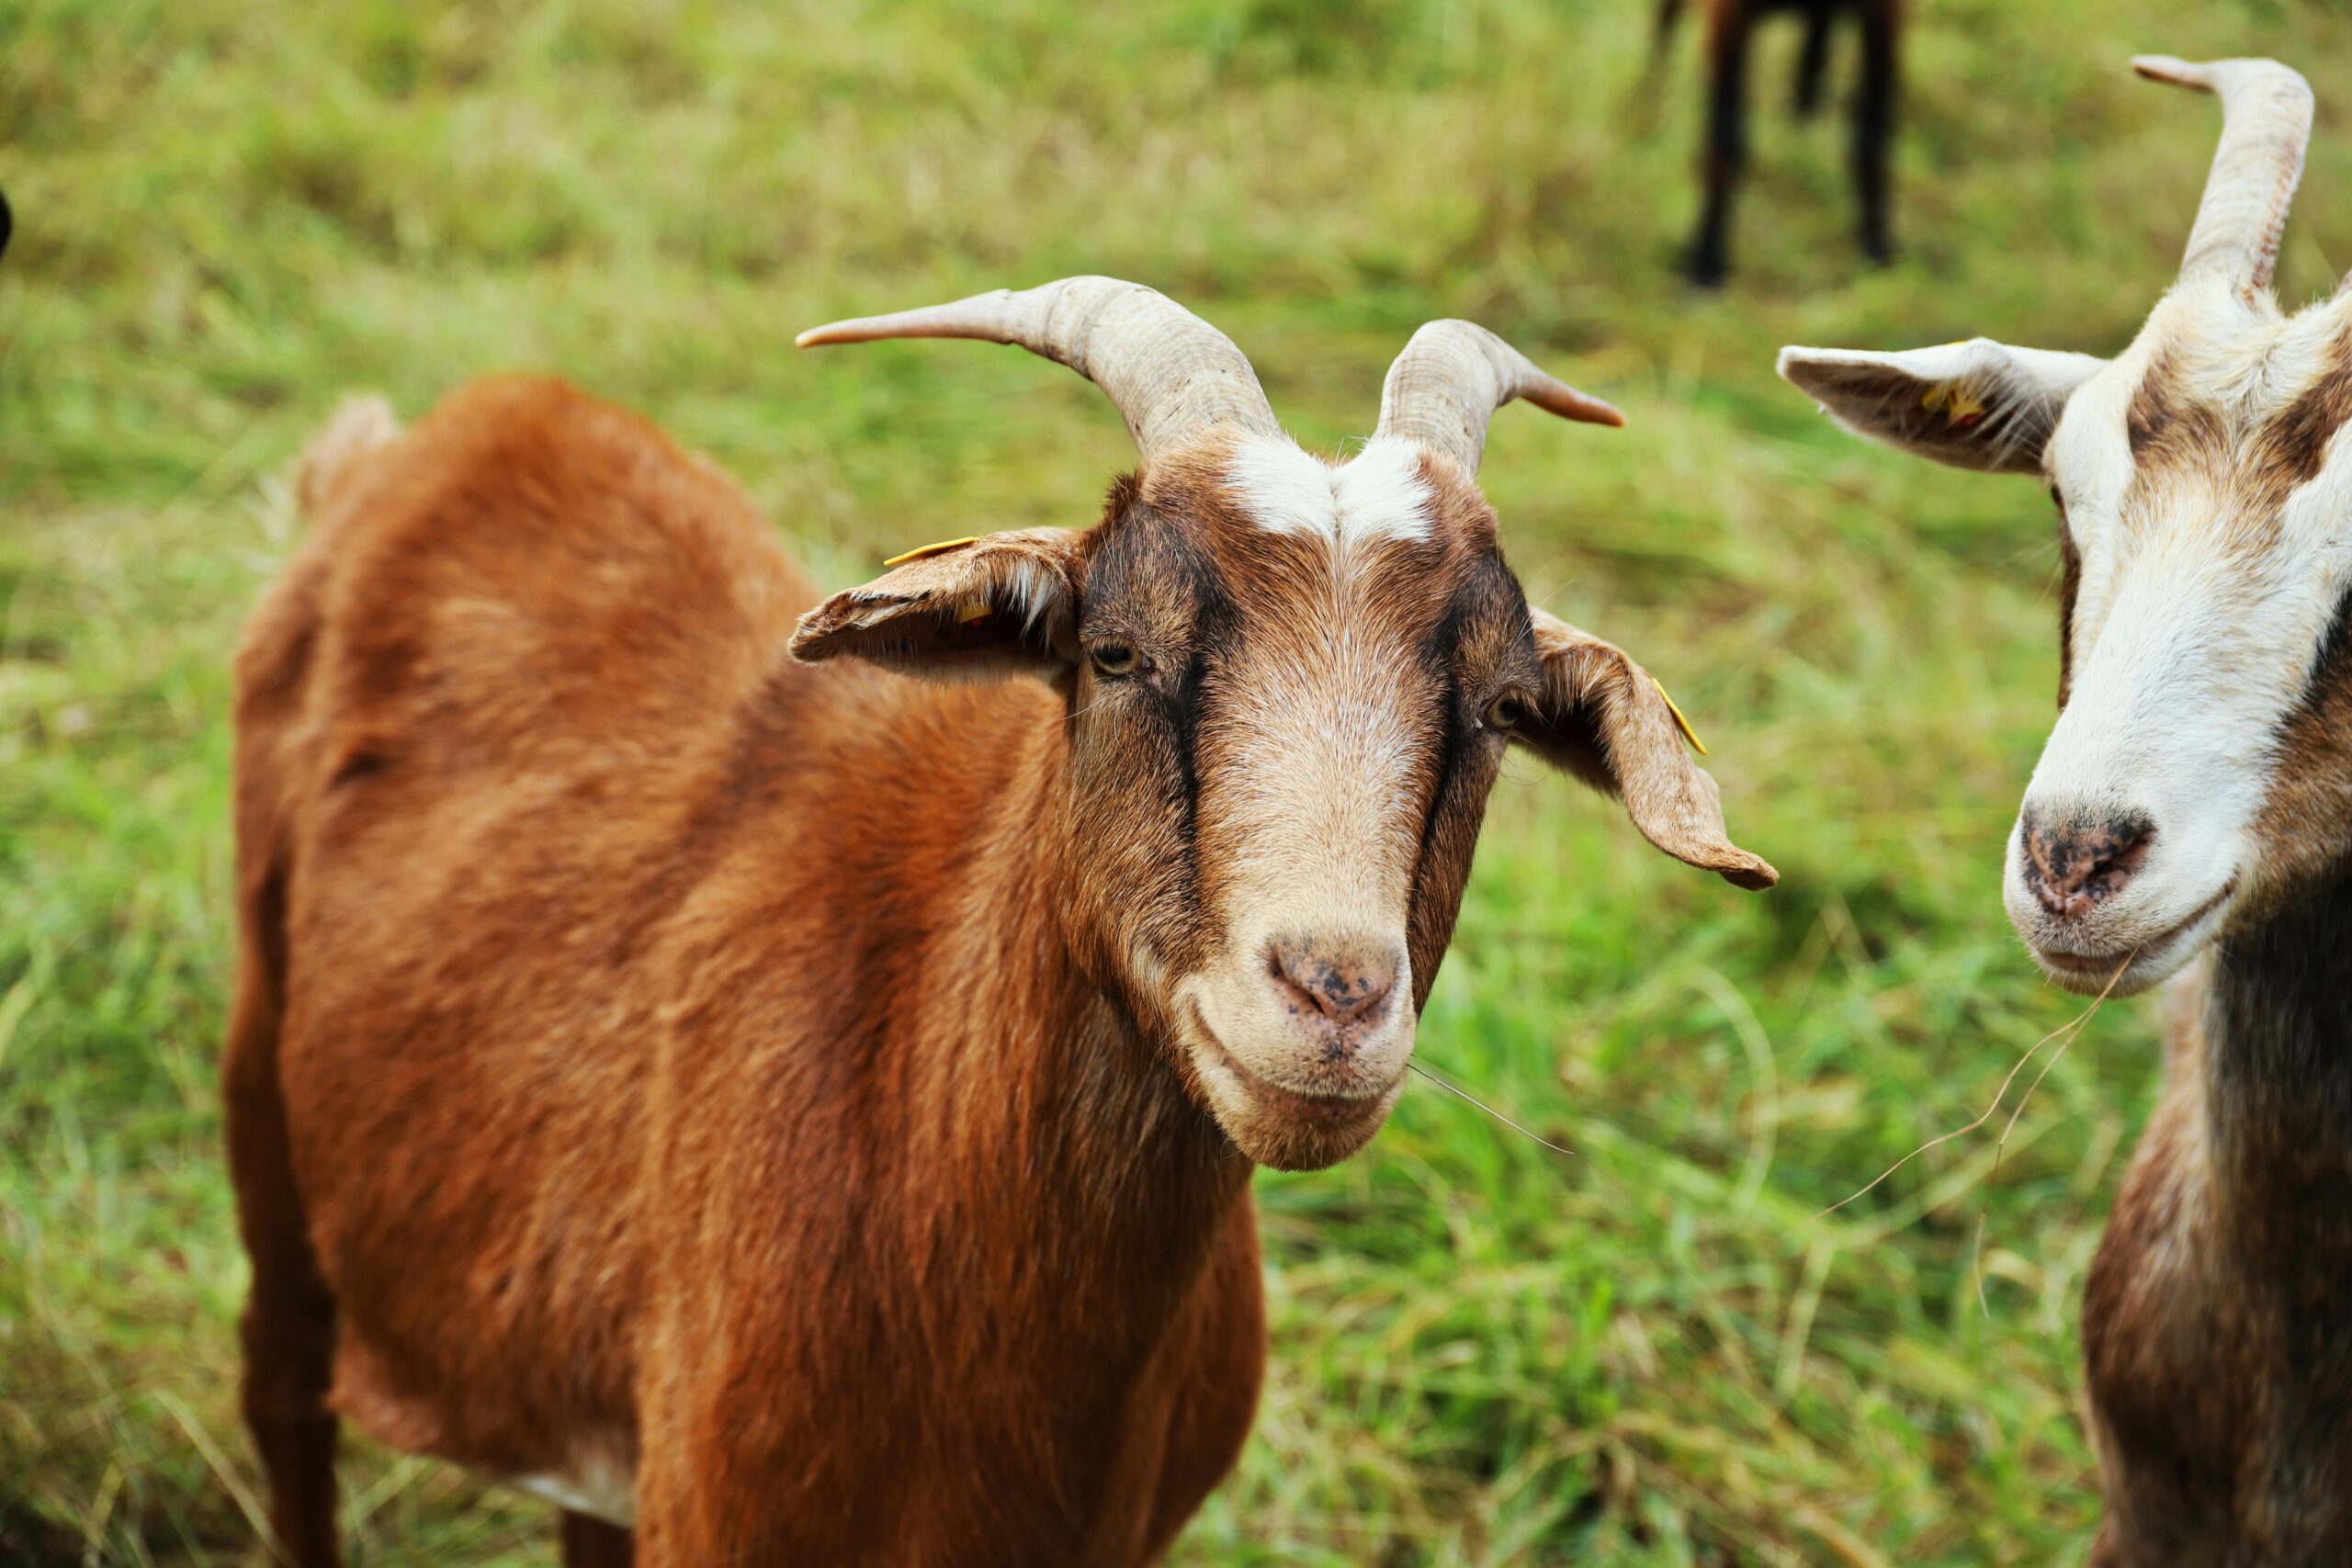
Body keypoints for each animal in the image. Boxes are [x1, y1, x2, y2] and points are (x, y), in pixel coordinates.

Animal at [1659, 0, 1901, 286]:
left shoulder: (1886, 11)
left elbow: (1872, 137)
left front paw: (1877, 245)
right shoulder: (1727, 13)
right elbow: (1725, 140)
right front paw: (1705, 261)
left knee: (1816, 44)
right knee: (1664, 27)